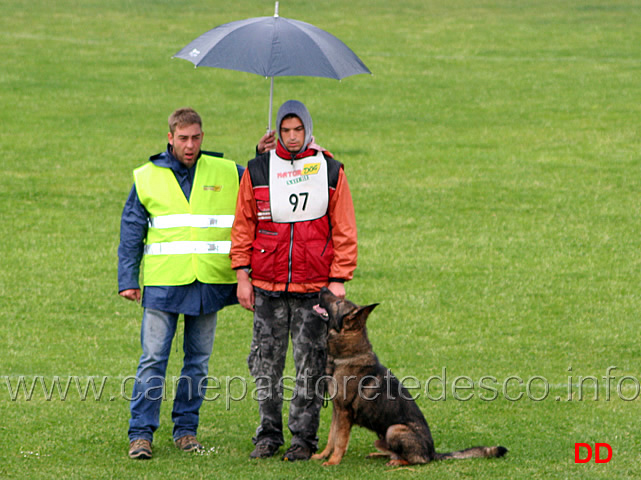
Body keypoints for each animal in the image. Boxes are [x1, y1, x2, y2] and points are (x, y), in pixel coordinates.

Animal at [310, 286, 504, 466]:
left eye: (338, 302)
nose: (323, 288)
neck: (346, 355)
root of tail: (432, 452)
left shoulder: (344, 412)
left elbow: (340, 441)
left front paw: (333, 461)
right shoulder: (337, 410)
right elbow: (332, 437)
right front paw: (322, 456)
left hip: (394, 429)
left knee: (417, 460)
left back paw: (397, 462)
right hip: (381, 437)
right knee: (395, 452)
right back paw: (380, 455)